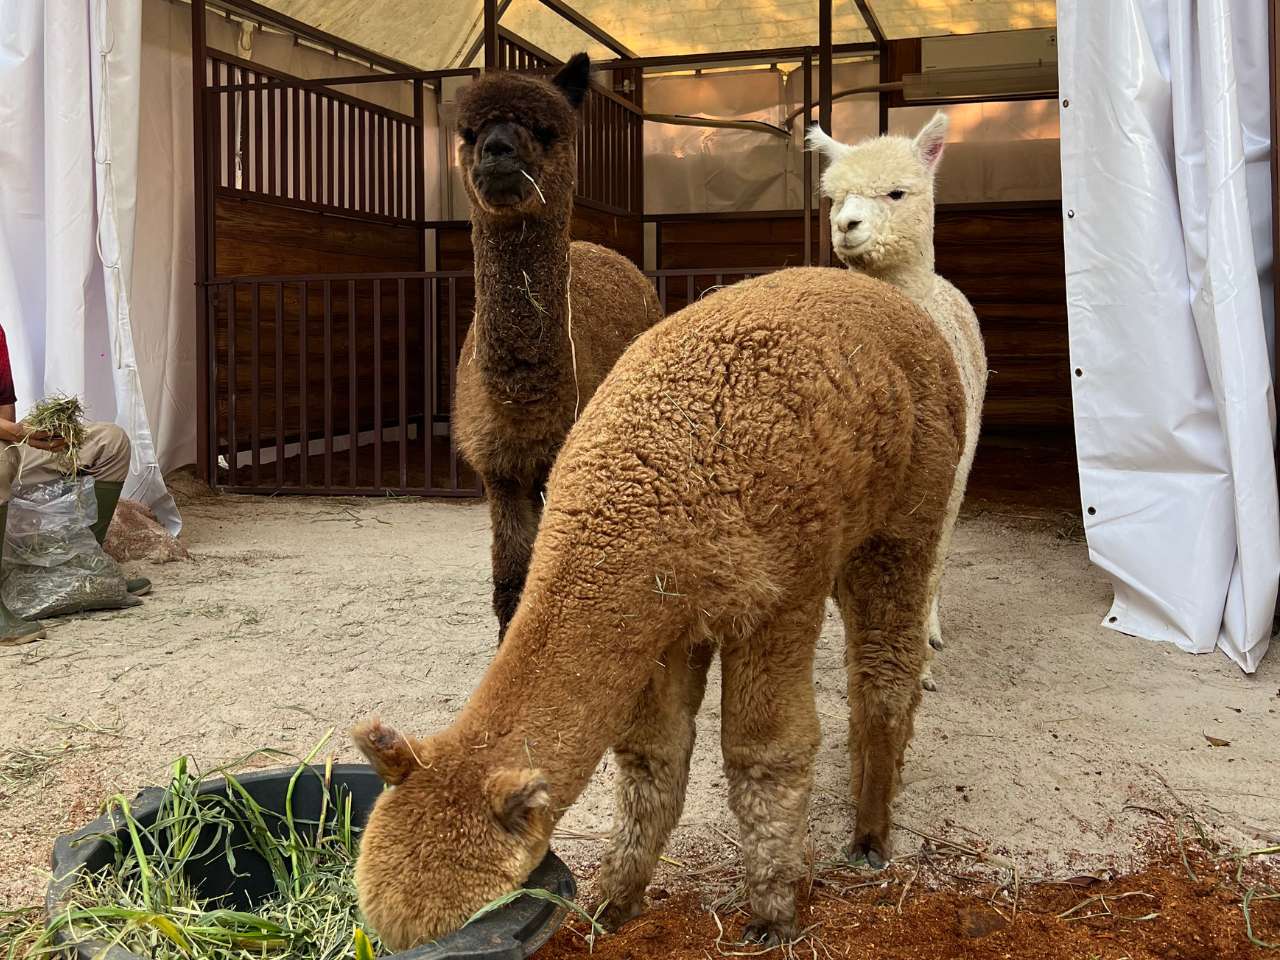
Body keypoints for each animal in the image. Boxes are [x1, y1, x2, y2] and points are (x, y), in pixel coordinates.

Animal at [352, 267, 966, 950]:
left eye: (468, 922)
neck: (649, 493)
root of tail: (883, 294)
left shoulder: (779, 597)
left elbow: (764, 750)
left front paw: (774, 912)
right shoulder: (664, 623)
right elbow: (654, 757)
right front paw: (614, 904)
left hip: (908, 511)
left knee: (886, 664)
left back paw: (870, 835)